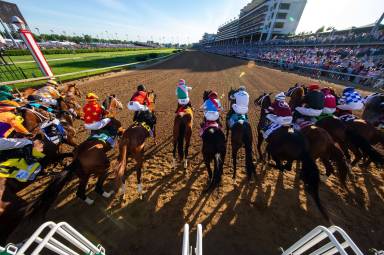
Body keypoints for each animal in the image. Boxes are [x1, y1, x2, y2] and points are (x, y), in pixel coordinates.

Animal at [254, 93, 328, 221]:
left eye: (260, 97)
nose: (254, 101)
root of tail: (304, 148)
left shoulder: (261, 135)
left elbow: (259, 147)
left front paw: (262, 159)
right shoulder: (269, 143)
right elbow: (267, 152)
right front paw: (265, 159)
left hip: (279, 152)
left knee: (280, 165)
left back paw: (272, 166)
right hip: (292, 157)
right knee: (286, 166)